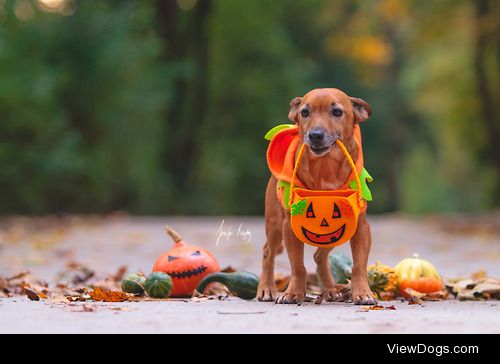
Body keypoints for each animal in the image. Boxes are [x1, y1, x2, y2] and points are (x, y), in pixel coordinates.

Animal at [258, 88, 376, 304]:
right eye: (305, 112)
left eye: (337, 111)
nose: (315, 135)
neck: (325, 168)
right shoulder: (289, 226)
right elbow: (297, 266)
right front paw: (293, 293)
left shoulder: (360, 226)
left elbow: (358, 266)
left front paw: (363, 292)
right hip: (274, 223)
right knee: (268, 252)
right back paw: (266, 288)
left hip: (337, 232)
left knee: (319, 256)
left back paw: (329, 289)